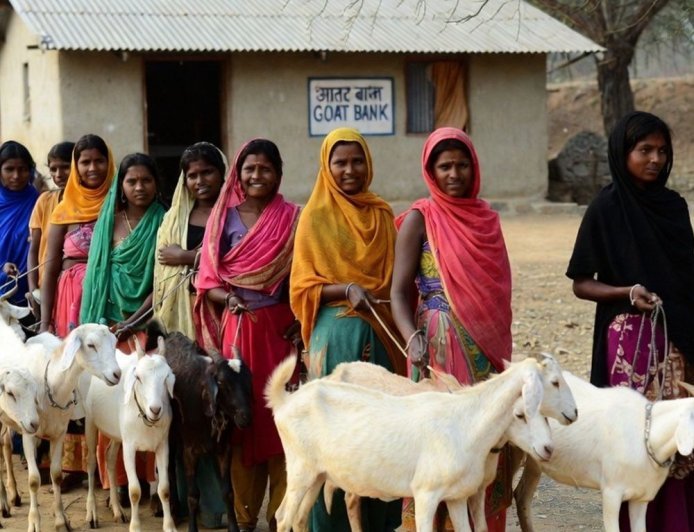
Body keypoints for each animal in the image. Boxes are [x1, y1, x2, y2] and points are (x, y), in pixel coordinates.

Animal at [0, 320, 120, 532]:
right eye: (90, 345)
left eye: (114, 343)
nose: (117, 374)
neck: (52, 386)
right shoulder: (29, 433)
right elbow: (33, 480)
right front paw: (34, 522)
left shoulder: (59, 433)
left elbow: (56, 474)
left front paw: (60, 520)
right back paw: (4, 504)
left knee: (6, 446)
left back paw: (13, 495)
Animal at [84, 336, 175, 531]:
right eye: (138, 377)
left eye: (166, 378)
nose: (155, 409)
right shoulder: (129, 448)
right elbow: (134, 492)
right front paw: (135, 527)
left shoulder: (163, 445)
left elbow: (164, 489)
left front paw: (169, 526)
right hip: (90, 421)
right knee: (91, 462)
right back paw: (92, 513)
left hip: (117, 433)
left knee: (110, 458)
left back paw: (118, 510)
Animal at [145, 321, 253, 532]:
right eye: (221, 382)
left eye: (247, 380)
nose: (245, 416)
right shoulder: (189, 451)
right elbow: (193, 495)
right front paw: (192, 528)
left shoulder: (224, 449)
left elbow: (228, 492)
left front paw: (233, 528)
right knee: (170, 470)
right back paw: (173, 510)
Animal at [267, 355, 551, 532]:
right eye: (521, 414)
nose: (547, 449)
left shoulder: (475, 490)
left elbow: (479, 527)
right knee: (343, 500)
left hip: (323, 470)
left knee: (306, 513)